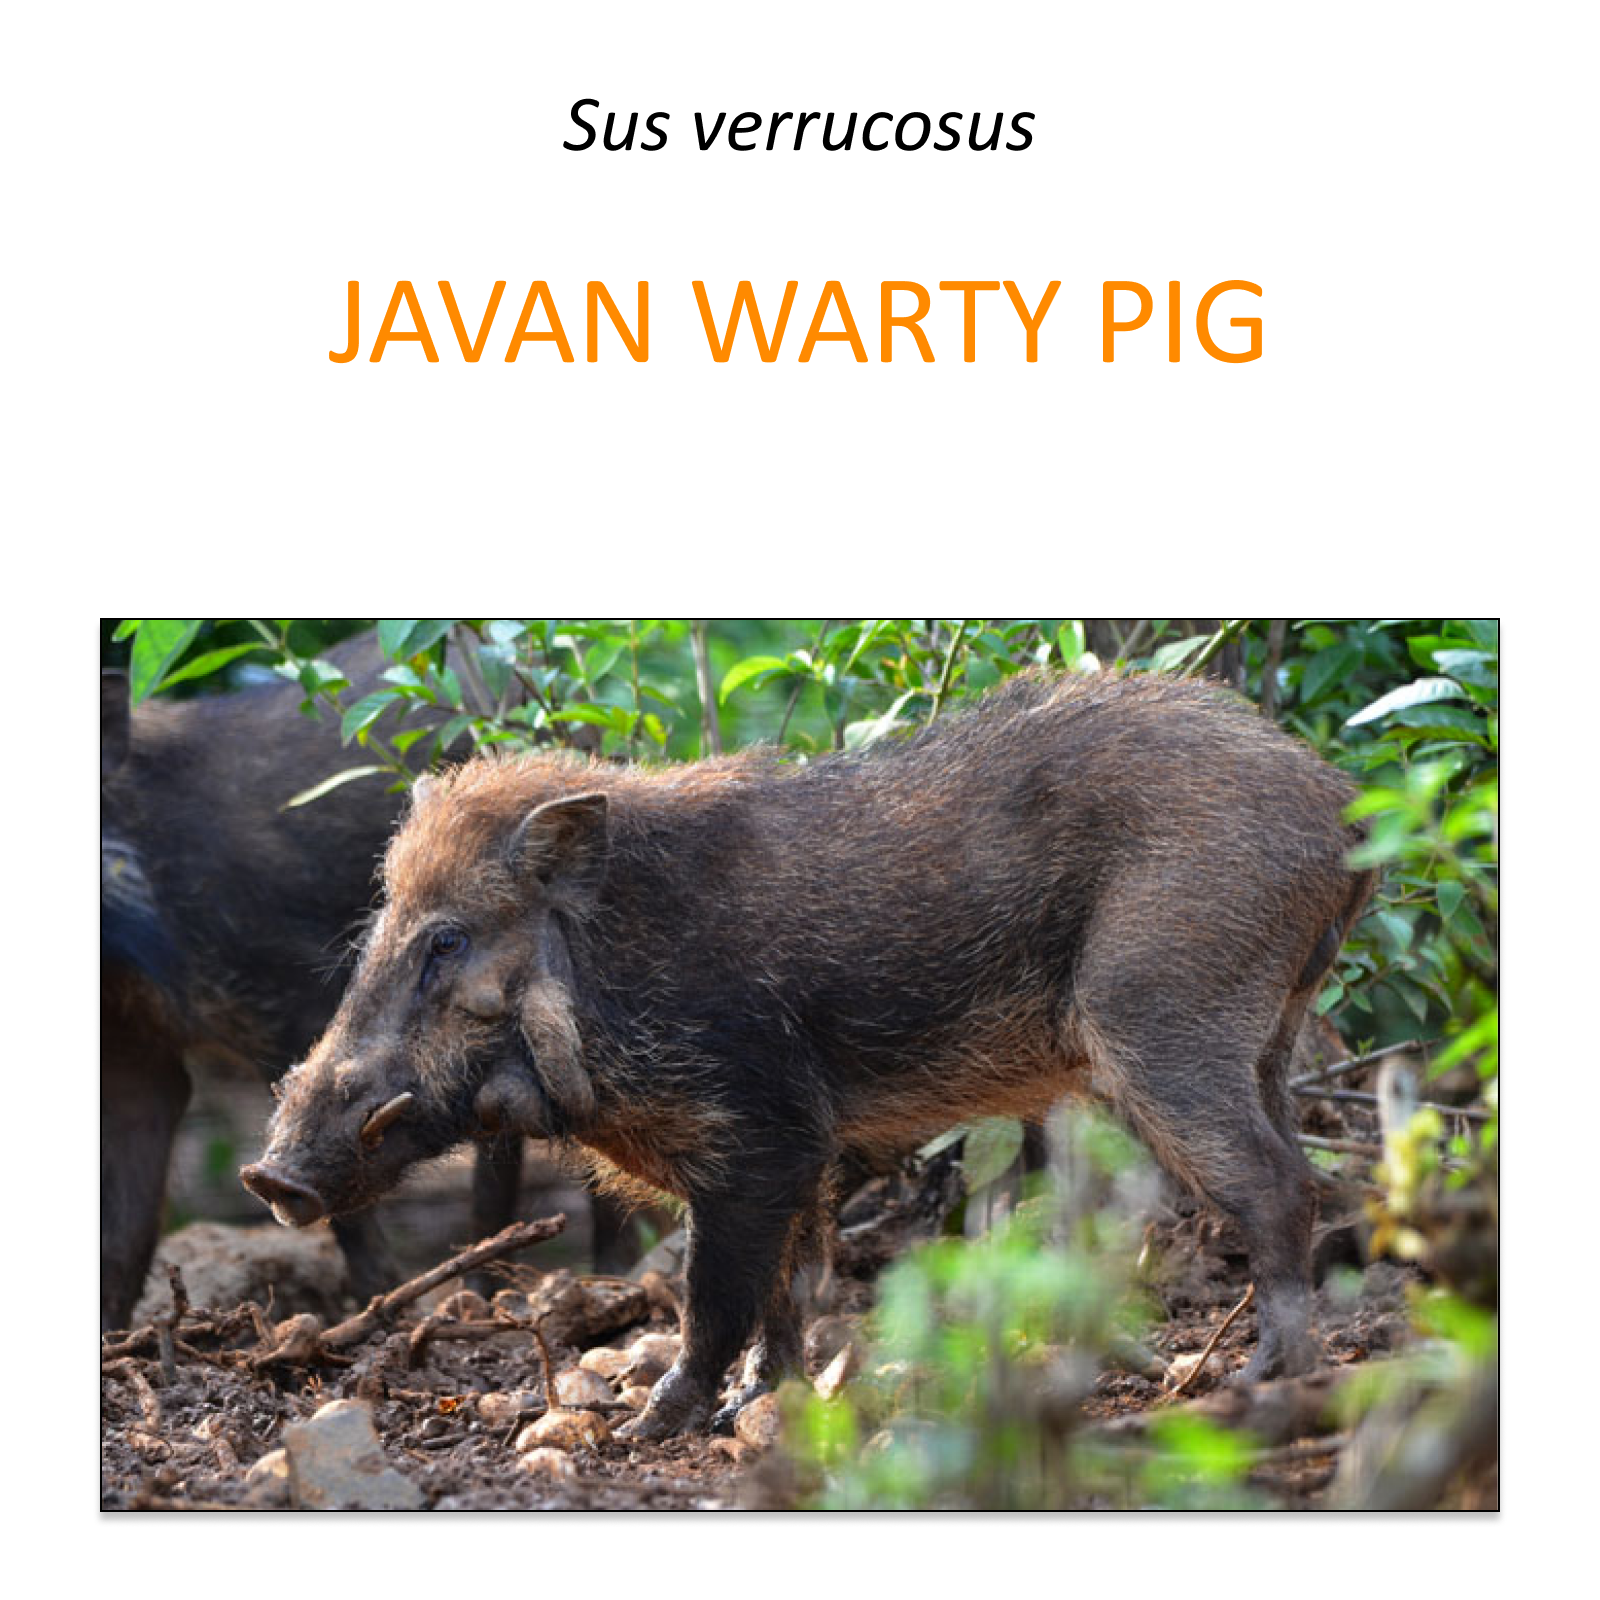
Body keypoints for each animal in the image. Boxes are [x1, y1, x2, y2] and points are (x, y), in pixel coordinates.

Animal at [242, 669, 1374, 1437]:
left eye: (446, 941)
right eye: (381, 928)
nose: (271, 1176)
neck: (612, 954)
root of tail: (1341, 807)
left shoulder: (760, 1142)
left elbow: (713, 1297)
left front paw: (650, 1425)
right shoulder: (794, 1157)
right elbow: (784, 1291)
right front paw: (759, 1403)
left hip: (1160, 1022)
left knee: (1276, 1186)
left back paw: (1258, 1380)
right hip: (1264, 1033)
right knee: (1302, 1170)